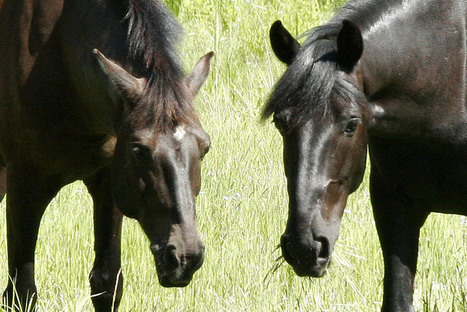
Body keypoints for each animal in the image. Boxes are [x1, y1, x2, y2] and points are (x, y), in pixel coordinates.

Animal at [0, 0, 212, 310]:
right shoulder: (25, 187)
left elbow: (107, 283)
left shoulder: (109, 183)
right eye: (139, 149)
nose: (185, 257)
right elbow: (21, 293)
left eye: (204, 147)